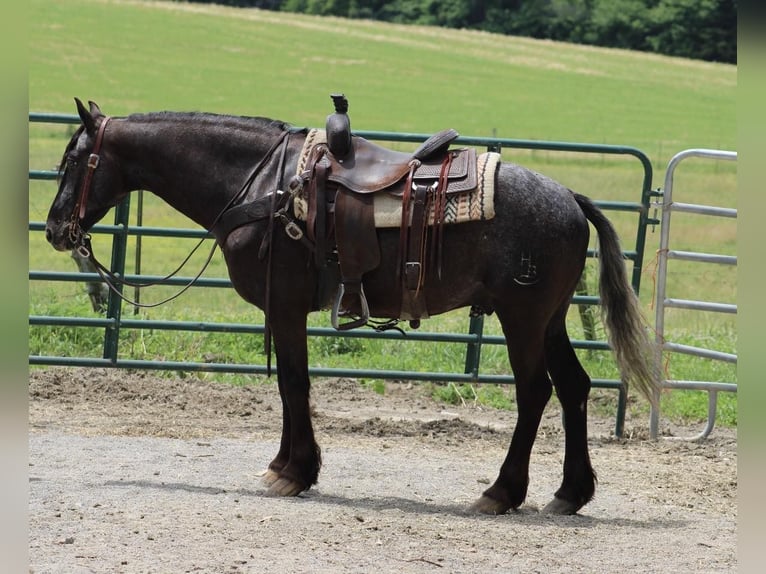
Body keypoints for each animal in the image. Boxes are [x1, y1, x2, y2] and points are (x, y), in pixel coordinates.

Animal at [46, 98, 660, 516]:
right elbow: (291, 383)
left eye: (73, 160)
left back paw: (501, 492)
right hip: (549, 320)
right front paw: (286, 465)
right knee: (575, 387)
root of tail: (571, 200)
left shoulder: (285, 307)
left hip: (523, 319)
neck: (262, 185)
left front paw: (294, 472)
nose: (54, 228)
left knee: (536, 393)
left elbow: (293, 382)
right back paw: (570, 493)